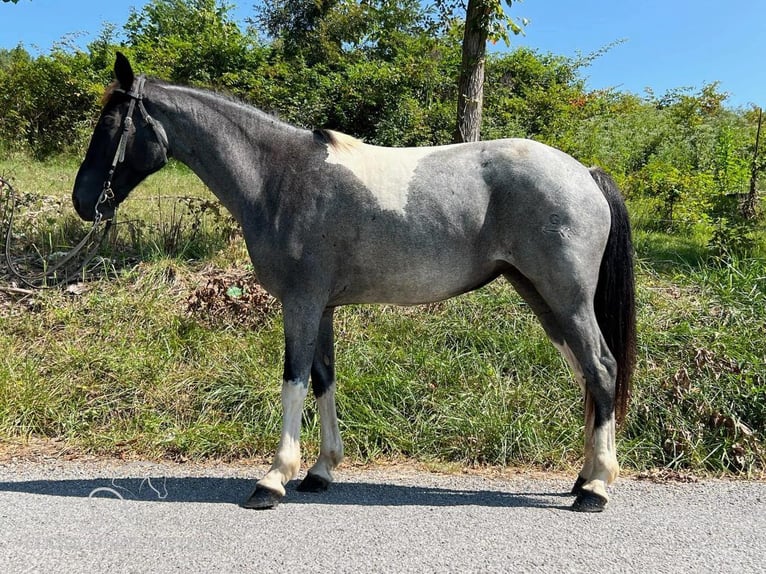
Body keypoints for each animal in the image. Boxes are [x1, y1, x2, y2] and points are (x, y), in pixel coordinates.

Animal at [73, 54, 636, 512]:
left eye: (111, 125)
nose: (83, 200)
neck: (280, 177)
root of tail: (584, 173)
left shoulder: (300, 303)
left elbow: (294, 379)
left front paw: (273, 479)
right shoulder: (320, 308)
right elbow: (323, 379)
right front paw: (320, 471)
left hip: (567, 298)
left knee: (602, 368)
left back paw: (596, 488)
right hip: (542, 297)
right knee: (586, 374)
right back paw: (584, 476)